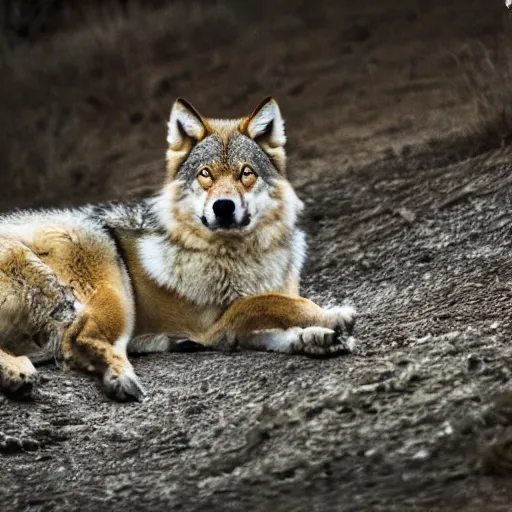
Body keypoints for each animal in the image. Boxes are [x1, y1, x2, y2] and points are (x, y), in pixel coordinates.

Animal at [0, 96, 356, 400]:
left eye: (246, 173)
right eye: (205, 175)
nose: (223, 207)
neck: (240, 259)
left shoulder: (233, 331)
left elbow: (282, 323)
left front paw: (318, 336)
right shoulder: (216, 325)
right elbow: (279, 302)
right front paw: (332, 316)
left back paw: (15, 372)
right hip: (110, 281)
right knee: (78, 341)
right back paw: (119, 379)